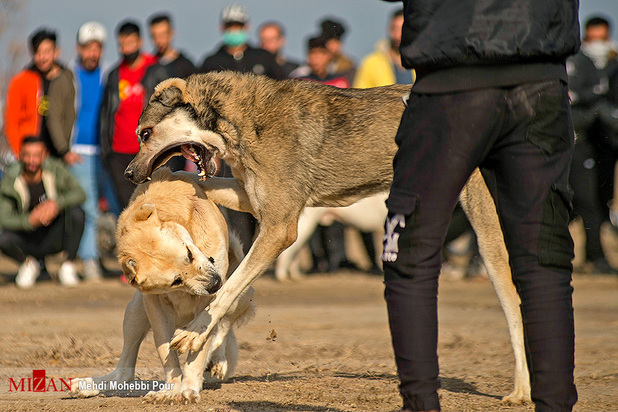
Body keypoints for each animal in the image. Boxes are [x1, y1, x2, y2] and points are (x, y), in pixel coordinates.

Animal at [71, 169, 254, 404]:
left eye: (188, 253)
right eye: (176, 281)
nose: (215, 284)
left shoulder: (208, 302)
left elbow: (202, 340)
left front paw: (189, 387)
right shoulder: (154, 305)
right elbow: (166, 351)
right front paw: (172, 389)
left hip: (239, 293)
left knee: (223, 327)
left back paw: (217, 359)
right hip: (135, 311)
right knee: (124, 372)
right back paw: (88, 385)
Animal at [124, 72, 528, 404]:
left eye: (145, 133)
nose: (128, 175)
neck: (239, 121)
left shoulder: (280, 227)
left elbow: (227, 290)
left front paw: (194, 333)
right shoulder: (254, 198)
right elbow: (201, 184)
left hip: (486, 231)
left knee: (513, 303)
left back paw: (522, 391)